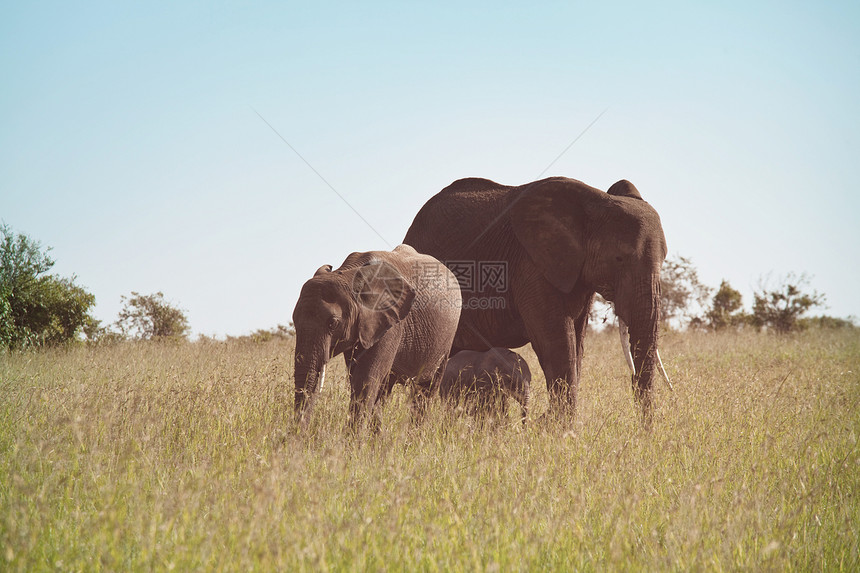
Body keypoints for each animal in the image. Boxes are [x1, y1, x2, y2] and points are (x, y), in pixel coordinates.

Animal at [290, 245, 464, 428]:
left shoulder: (391, 325)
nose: (299, 433)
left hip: (446, 340)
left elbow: (365, 380)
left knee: (425, 390)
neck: (348, 274)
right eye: (294, 320)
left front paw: (354, 436)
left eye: (333, 323)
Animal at [404, 175, 672, 420]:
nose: (646, 429)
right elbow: (556, 342)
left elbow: (577, 343)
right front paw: (560, 430)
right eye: (619, 258)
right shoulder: (531, 265)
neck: (593, 203)